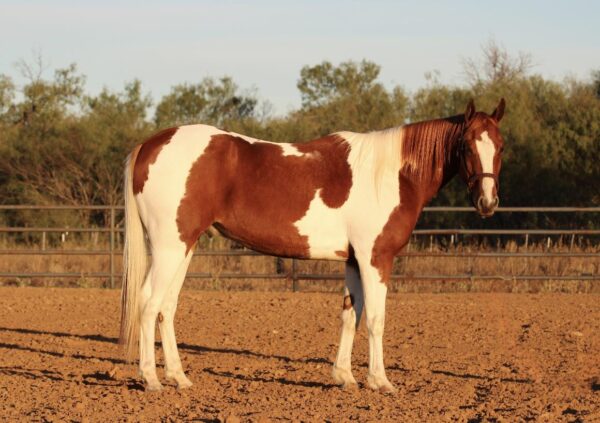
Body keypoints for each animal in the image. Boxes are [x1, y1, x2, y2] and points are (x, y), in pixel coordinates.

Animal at [119, 97, 504, 392]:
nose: (487, 202)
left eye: (500, 147)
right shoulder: (376, 258)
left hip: (184, 247)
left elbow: (351, 314)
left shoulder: (353, 260)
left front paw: (345, 377)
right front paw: (380, 382)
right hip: (169, 247)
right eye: (467, 146)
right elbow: (376, 318)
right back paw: (151, 379)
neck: (392, 175)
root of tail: (151, 145)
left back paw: (179, 377)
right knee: (149, 303)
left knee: (167, 306)